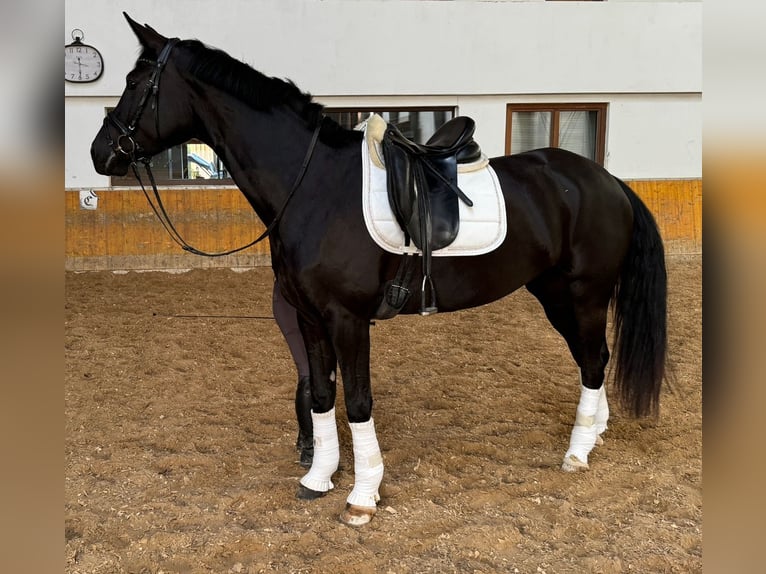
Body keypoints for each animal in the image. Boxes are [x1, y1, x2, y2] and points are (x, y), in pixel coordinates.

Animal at [90, 14, 664, 528]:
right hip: (554, 294)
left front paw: (362, 497)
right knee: (594, 359)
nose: (100, 152)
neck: (313, 186)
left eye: (136, 83)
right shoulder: (310, 318)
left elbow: (359, 402)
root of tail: (608, 181)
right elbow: (322, 397)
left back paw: (577, 453)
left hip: (583, 294)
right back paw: (596, 433)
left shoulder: (347, 319)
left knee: (593, 361)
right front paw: (319, 478)